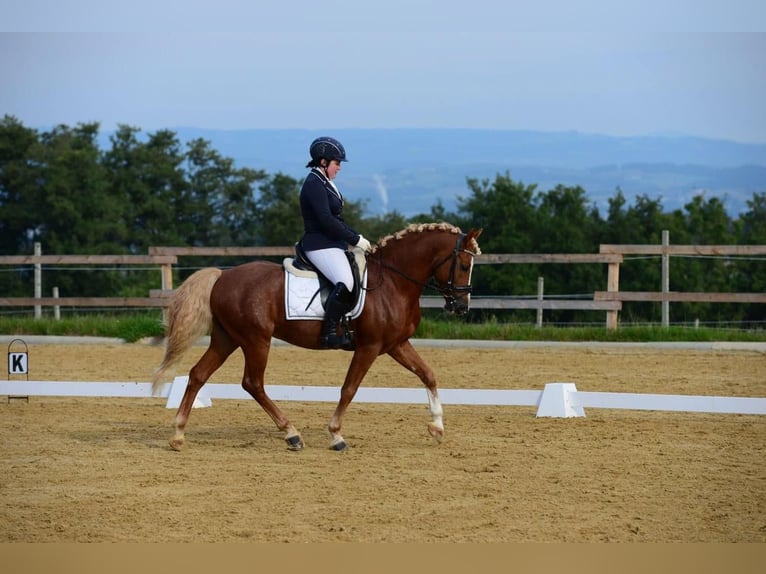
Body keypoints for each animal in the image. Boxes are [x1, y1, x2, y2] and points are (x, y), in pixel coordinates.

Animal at [152, 223, 484, 452]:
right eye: (463, 265)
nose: (461, 307)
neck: (393, 282)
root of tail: (223, 275)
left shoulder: (396, 344)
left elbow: (428, 374)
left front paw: (437, 427)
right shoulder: (369, 347)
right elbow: (349, 388)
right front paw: (336, 434)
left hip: (227, 338)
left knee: (198, 374)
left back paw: (178, 435)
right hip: (256, 339)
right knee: (252, 383)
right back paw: (291, 433)